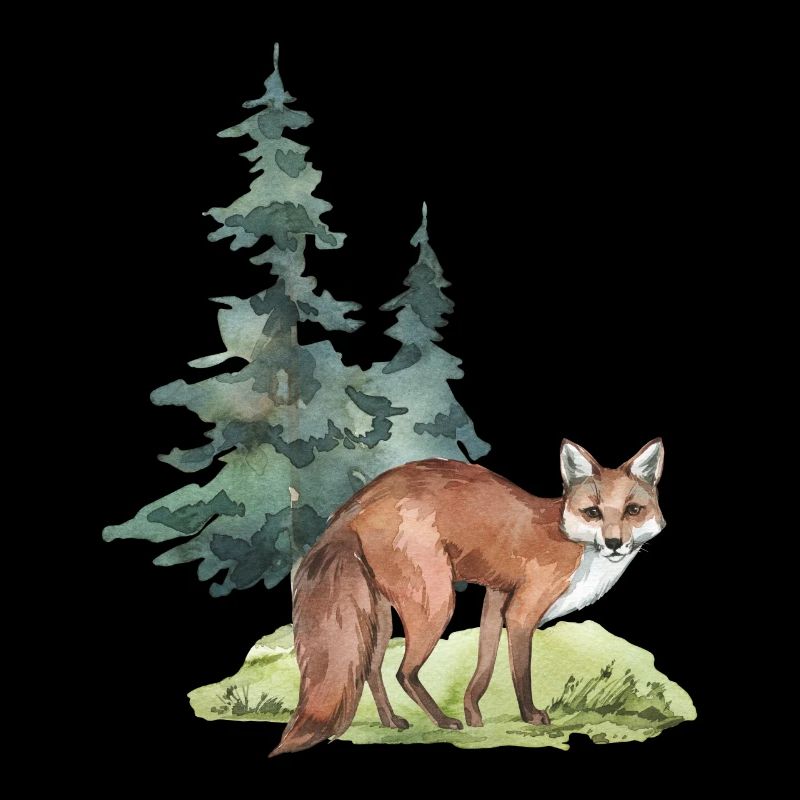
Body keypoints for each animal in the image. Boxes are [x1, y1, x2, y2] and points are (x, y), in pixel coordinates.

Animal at [270, 438, 665, 756]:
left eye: (632, 510)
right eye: (593, 512)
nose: (614, 543)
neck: (571, 542)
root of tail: (355, 504)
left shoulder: (496, 595)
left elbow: (483, 667)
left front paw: (474, 715)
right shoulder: (522, 611)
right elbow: (520, 673)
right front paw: (530, 717)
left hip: (381, 615)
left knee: (371, 668)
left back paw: (392, 722)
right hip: (436, 604)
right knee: (404, 672)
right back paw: (442, 721)